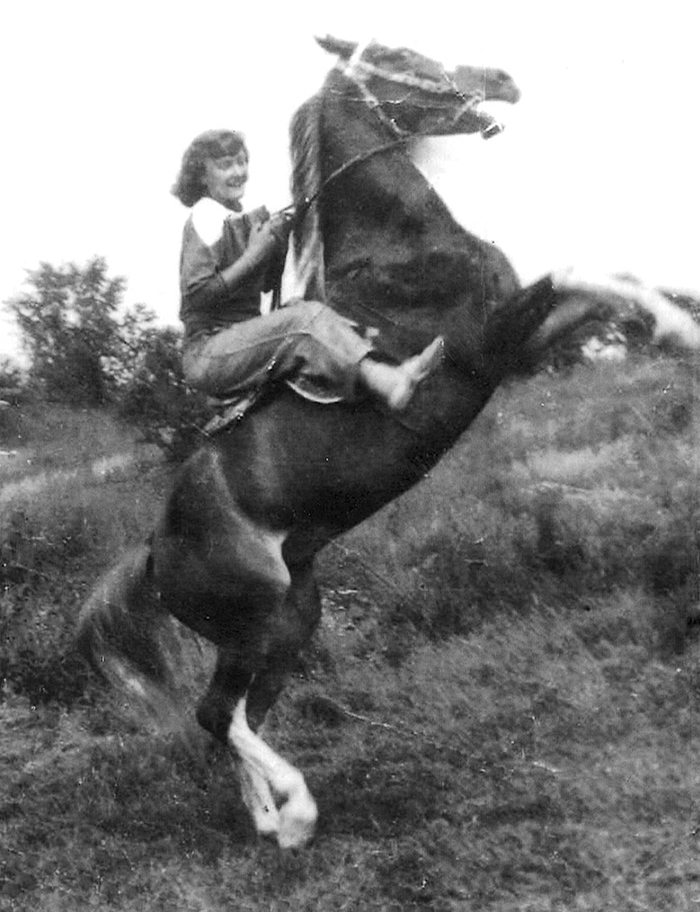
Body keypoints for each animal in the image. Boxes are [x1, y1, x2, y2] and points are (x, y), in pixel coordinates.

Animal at [76, 35, 700, 848]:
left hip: (290, 620)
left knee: (235, 717)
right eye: (399, 55)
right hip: (257, 618)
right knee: (217, 715)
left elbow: (599, 282)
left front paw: (677, 322)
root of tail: (154, 552)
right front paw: (683, 326)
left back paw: (270, 825)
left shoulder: (521, 342)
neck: (400, 248)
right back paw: (296, 812)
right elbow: (579, 273)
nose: (503, 79)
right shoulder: (490, 343)